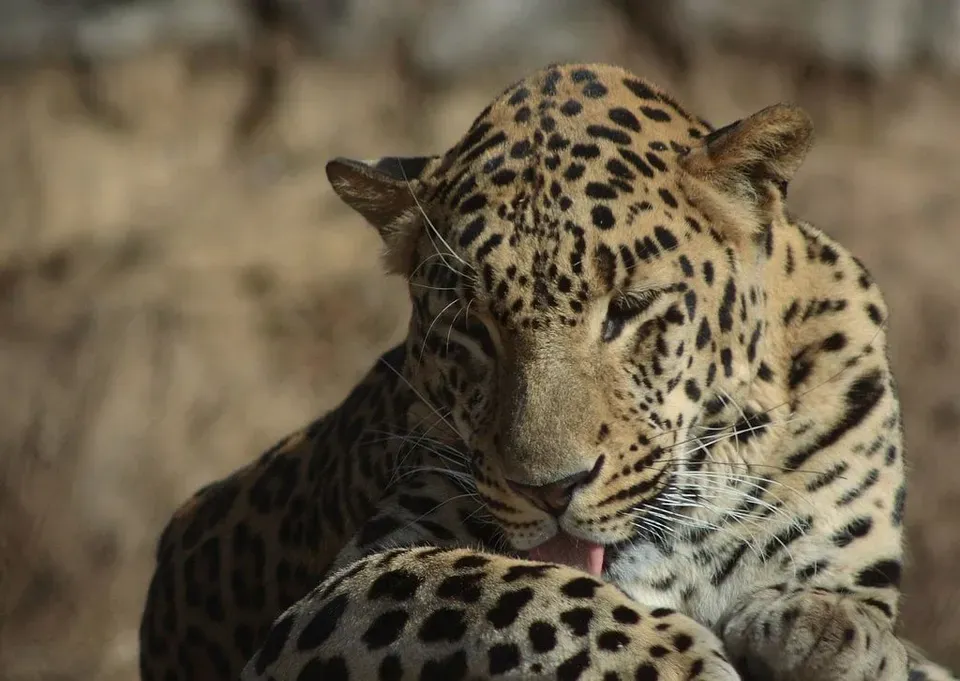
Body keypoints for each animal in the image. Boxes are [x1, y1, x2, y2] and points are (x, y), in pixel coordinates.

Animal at [139, 63, 958, 681]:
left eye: (628, 308)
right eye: (472, 328)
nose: (552, 490)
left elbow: (868, 625)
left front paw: (825, 631)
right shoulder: (342, 589)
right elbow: (511, 586)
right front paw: (677, 659)